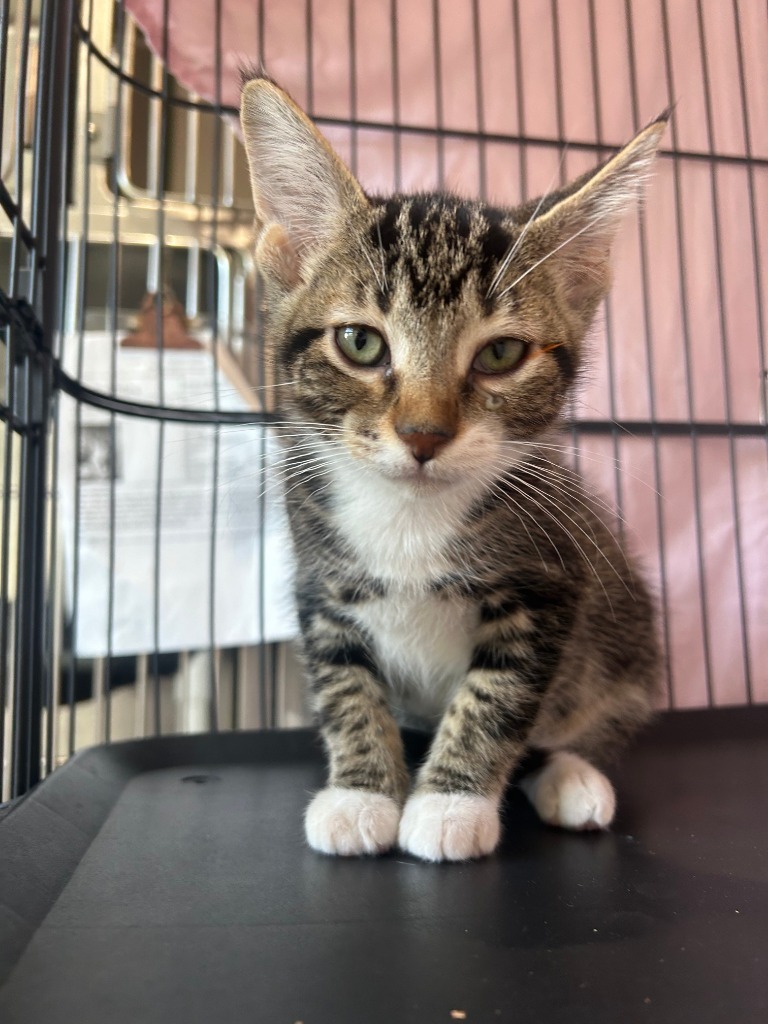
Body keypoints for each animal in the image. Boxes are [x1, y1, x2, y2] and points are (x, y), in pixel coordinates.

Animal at [240, 75, 667, 860]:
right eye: (360, 342)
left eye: (500, 354)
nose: (423, 433)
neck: (409, 515)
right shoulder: (320, 577)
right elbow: (345, 684)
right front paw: (362, 792)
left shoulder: (551, 584)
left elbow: (498, 696)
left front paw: (449, 803)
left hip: (628, 634)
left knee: (592, 714)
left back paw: (571, 774)